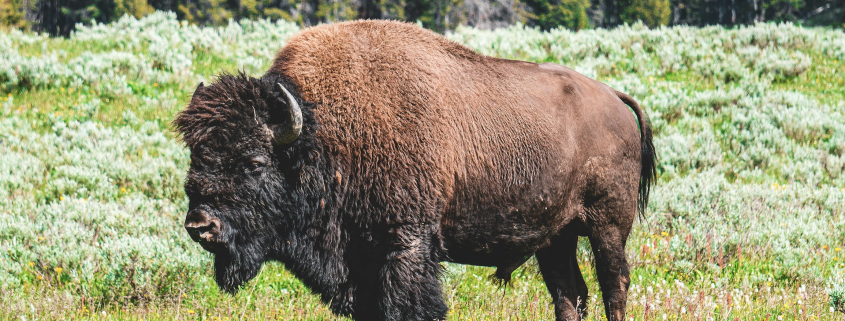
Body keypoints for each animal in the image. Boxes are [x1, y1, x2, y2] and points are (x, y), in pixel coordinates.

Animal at [175, 19, 656, 320]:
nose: (200, 225)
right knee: (569, 295)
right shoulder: (361, 265)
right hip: (556, 238)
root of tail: (614, 98)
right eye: (196, 156)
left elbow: (412, 307)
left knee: (614, 286)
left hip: (607, 227)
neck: (322, 134)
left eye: (255, 162)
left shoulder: (405, 245)